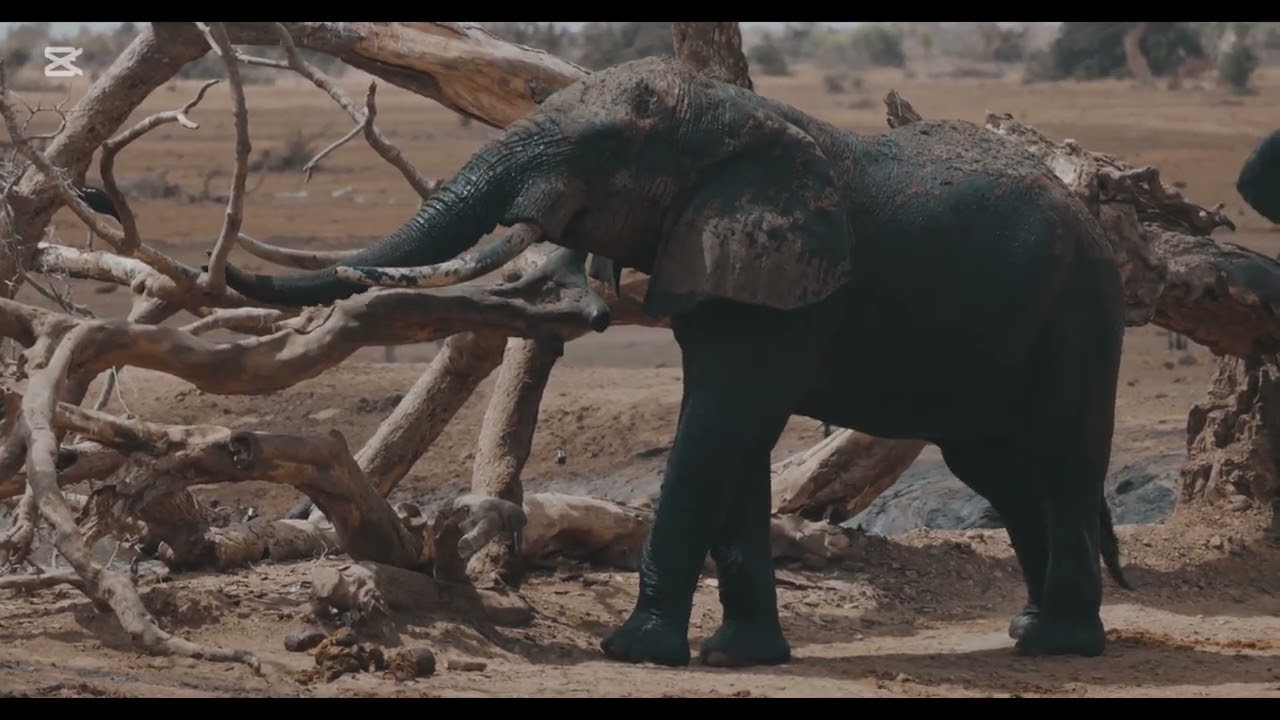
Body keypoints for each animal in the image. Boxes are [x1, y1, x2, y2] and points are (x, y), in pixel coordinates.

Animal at [222, 56, 1132, 668]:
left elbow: (716, 433)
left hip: (1083, 308)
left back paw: (1061, 642)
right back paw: (1028, 630)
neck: (734, 120)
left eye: (601, 148)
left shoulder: (782, 283)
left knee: (1060, 463)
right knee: (996, 469)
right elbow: (736, 444)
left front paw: (632, 650)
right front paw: (741, 655)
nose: (227, 265)